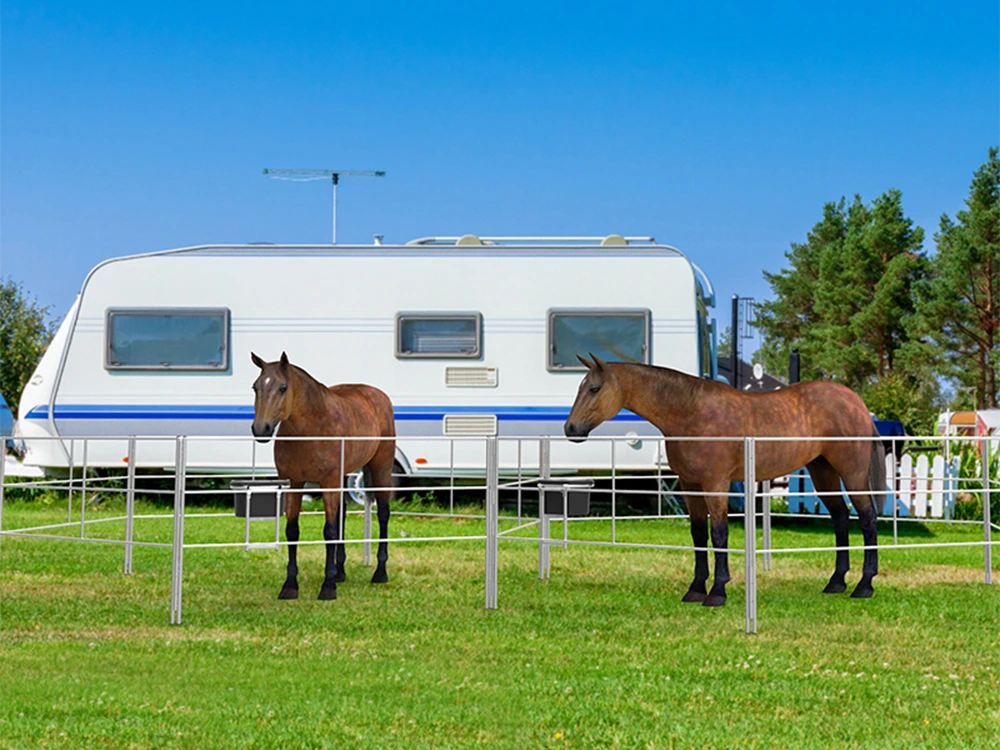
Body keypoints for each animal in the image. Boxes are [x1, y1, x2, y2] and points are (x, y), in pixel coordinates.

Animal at [248, 354, 396, 604]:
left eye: (282, 387)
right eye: (255, 387)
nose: (261, 429)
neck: (310, 431)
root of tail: (378, 396)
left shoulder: (328, 483)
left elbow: (329, 531)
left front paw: (327, 587)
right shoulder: (294, 484)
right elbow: (293, 531)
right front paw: (290, 586)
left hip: (380, 469)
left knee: (383, 514)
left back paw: (380, 572)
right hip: (343, 477)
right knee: (342, 515)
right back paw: (341, 572)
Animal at [568, 356, 888, 608]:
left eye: (594, 388)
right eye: (580, 387)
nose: (570, 429)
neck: (690, 412)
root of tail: (858, 403)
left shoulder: (715, 483)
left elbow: (719, 534)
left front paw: (717, 592)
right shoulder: (690, 485)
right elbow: (699, 535)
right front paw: (696, 589)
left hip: (852, 473)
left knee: (867, 518)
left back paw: (864, 586)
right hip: (823, 472)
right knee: (840, 517)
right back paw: (836, 582)